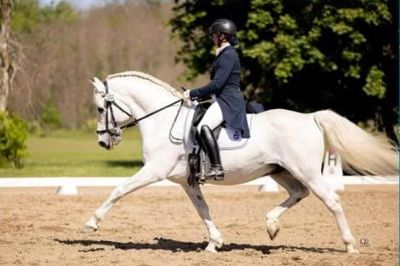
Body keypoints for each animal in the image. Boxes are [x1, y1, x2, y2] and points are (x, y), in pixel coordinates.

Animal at [83, 70, 396, 254]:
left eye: (100, 109)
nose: (103, 142)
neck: (163, 120)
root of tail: (310, 118)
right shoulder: (186, 181)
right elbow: (202, 209)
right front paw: (214, 243)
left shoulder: (153, 171)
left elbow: (118, 191)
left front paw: (91, 223)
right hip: (280, 171)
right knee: (299, 193)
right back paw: (271, 225)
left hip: (306, 171)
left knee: (331, 200)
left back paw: (350, 246)